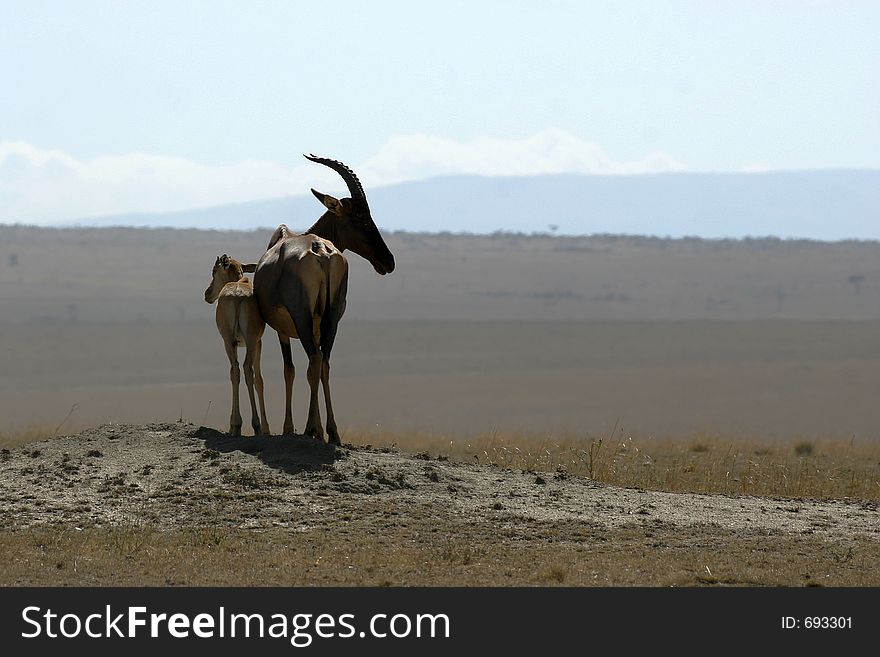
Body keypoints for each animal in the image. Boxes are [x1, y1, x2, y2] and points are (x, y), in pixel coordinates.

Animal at [205, 255, 270, 436]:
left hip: (231, 342)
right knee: (246, 369)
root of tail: (237, 294)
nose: (207, 294)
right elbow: (258, 380)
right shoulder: (256, 342)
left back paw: (238, 425)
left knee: (236, 370)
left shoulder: (253, 343)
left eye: (214, 270)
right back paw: (252, 425)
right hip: (248, 342)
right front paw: (265, 428)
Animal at [253, 154, 394, 444]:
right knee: (324, 361)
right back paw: (332, 431)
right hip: (332, 318)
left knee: (314, 360)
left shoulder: (283, 329)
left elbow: (290, 370)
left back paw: (312, 429)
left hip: (303, 318)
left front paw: (289, 427)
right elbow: (307, 370)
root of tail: (320, 249)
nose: (388, 262)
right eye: (362, 218)